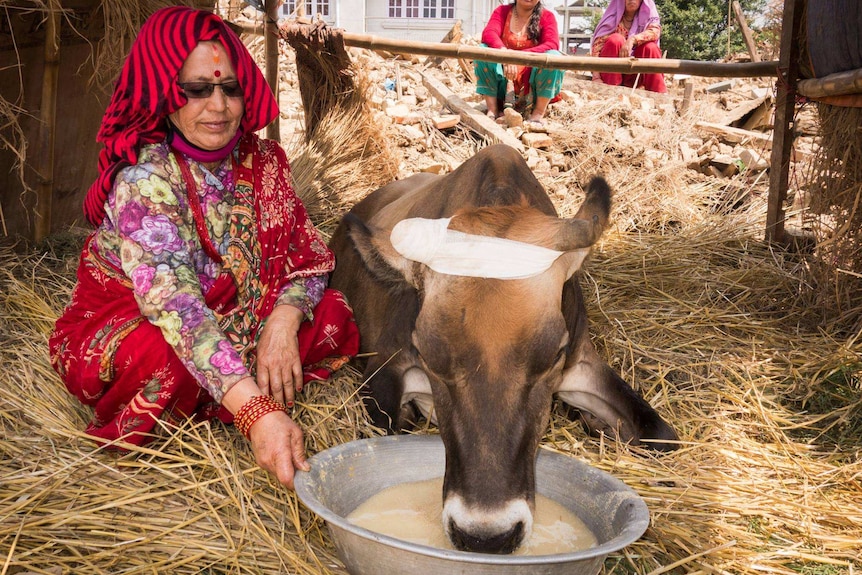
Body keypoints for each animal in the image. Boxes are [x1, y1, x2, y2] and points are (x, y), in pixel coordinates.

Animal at [328, 145, 680, 560]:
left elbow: (662, 435)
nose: (486, 536)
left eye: (555, 352)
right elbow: (383, 427)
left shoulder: (581, 361)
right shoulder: (383, 369)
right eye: (427, 352)